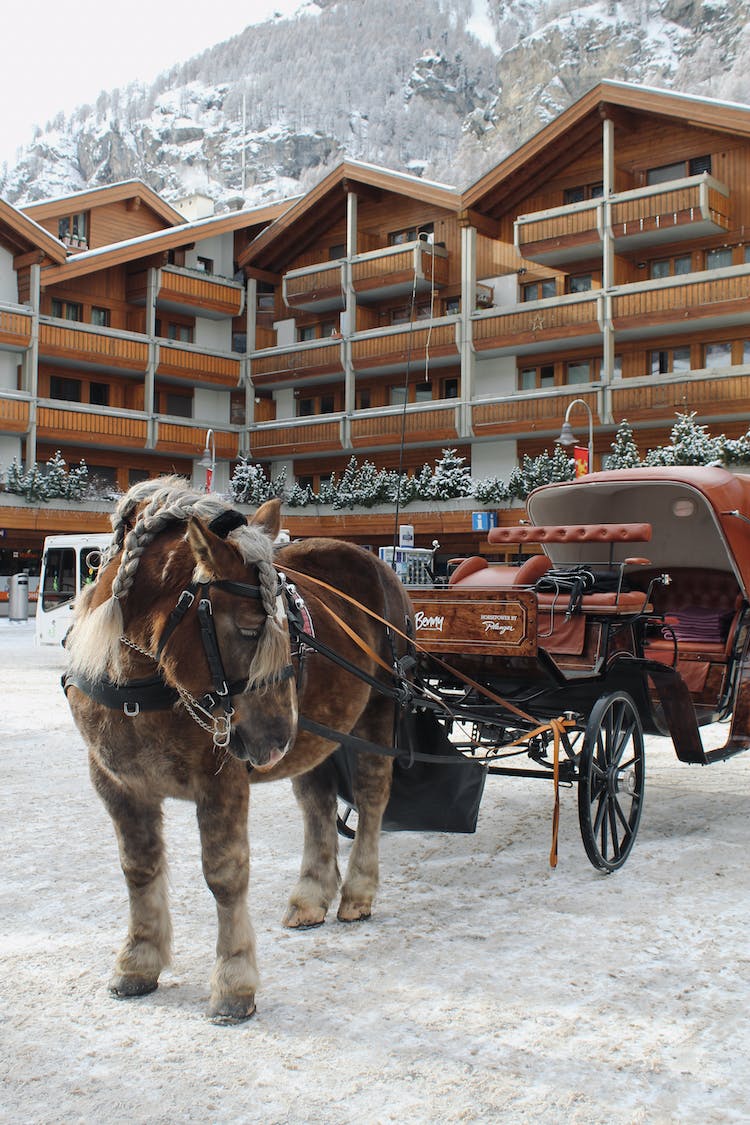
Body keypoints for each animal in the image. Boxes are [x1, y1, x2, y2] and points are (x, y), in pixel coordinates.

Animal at [62, 479, 416, 1026]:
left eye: (286, 628)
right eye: (250, 627)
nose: (275, 738)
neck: (142, 684)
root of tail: (376, 563)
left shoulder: (219, 779)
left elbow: (225, 875)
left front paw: (234, 983)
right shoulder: (116, 781)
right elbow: (138, 868)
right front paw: (138, 960)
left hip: (379, 708)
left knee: (372, 797)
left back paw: (358, 890)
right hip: (315, 736)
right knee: (317, 805)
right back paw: (312, 894)